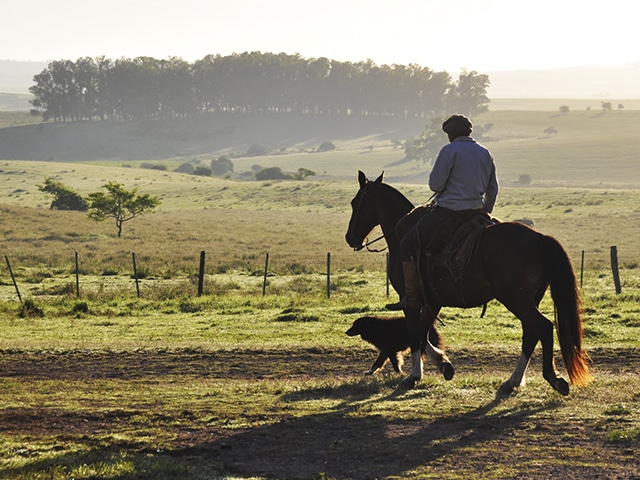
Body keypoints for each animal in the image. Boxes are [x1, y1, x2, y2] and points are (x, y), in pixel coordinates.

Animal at [348, 171, 592, 396]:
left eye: (354, 202)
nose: (350, 238)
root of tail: (539, 238)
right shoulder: (433, 302)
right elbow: (424, 333)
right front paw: (444, 364)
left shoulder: (411, 301)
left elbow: (416, 333)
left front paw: (414, 375)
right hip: (529, 299)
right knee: (530, 333)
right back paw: (512, 381)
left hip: (517, 299)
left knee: (543, 327)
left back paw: (553, 378)